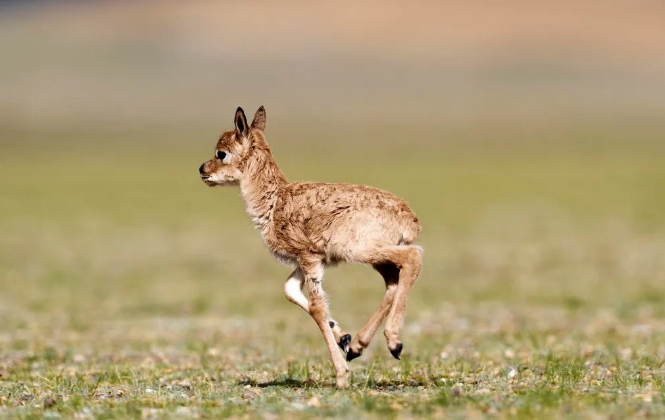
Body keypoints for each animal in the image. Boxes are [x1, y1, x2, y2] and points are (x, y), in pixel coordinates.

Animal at [200, 106, 422, 388]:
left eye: (222, 153)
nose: (202, 169)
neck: (275, 201)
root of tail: (410, 218)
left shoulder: (309, 258)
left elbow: (316, 306)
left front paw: (341, 376)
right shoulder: (310, 261)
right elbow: (289, 290)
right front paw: (343, 338)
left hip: (364, 251)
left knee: (413, 257)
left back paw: (393, 342)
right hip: (376, 259)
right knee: (393, 281)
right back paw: (358, 345)